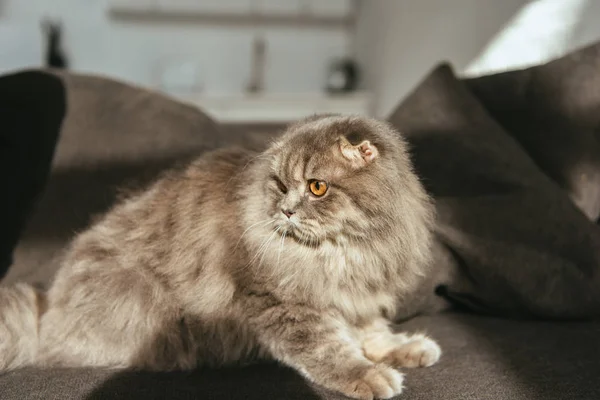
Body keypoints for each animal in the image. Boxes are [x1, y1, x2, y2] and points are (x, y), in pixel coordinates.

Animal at [0, 114, 440, 398]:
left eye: (317, 187)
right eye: (281, 186)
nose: (286, 211)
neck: (347, 252)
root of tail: (47, 310)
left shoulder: (358, 295)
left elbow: (372, 332)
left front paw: (406, 349)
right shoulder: (284, 304)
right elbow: (330, 348)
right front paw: (368, 375)